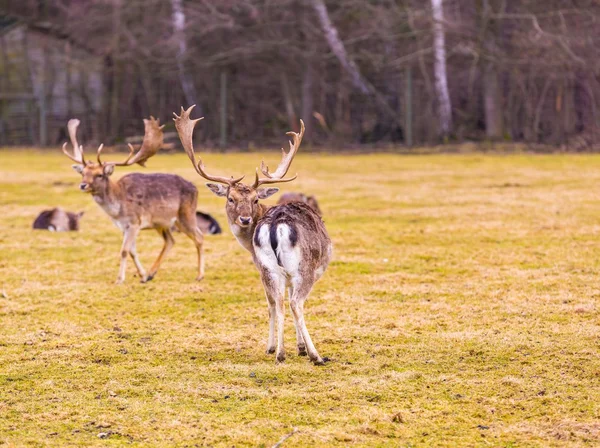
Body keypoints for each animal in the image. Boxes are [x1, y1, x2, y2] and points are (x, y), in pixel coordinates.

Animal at [61, 115, 205, 284]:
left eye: (99, 174)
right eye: (83, 173)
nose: (83, 185)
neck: (117, 210)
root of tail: (195, 188)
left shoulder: (135, 222)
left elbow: (124, 250)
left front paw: (119, 279)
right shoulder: (123, 226)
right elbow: (132, 251)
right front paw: (142, 275)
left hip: (186, 215)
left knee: (199, 237)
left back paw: (200, 275)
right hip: (162, 223)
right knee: (170, 240)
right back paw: (151, 274)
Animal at [173, 107, 332, 366]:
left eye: (255, 199)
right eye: (230, 198)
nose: (245, 219)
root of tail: (276, 224)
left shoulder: (263, 269)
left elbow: (272, 304)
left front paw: (278, 347)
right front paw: (295, 348)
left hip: (270, 267)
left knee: (278, 302)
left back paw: (281, 353)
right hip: (302, 267)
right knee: (294, 303)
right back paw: (314, 355)